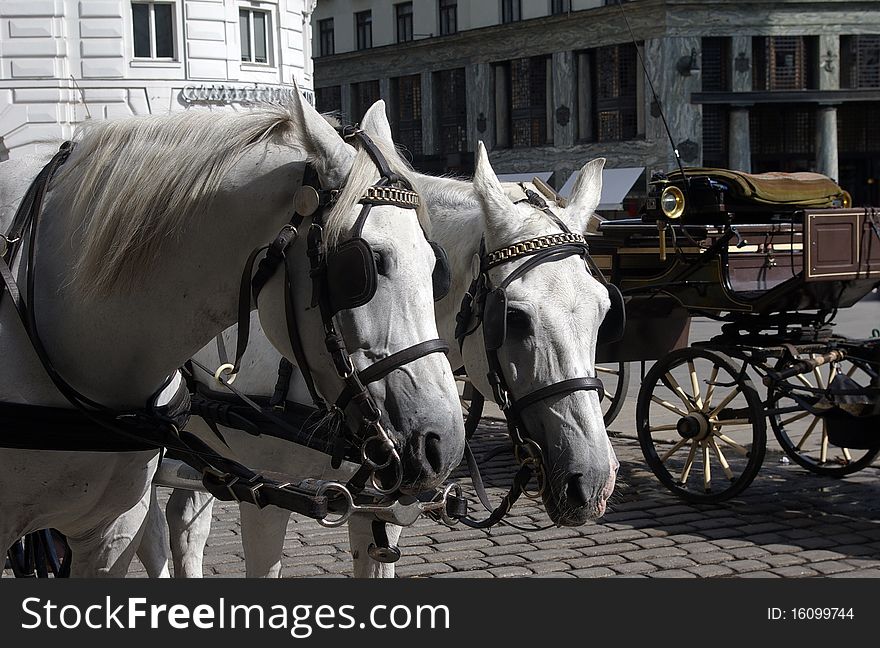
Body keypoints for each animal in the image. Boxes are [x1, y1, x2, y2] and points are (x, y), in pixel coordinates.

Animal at [141, 100, 616, 576]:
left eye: (605, 311)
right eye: (514, 317)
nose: (592, 480)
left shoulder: (379, 505)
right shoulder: (264, 494)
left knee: (183, 521)